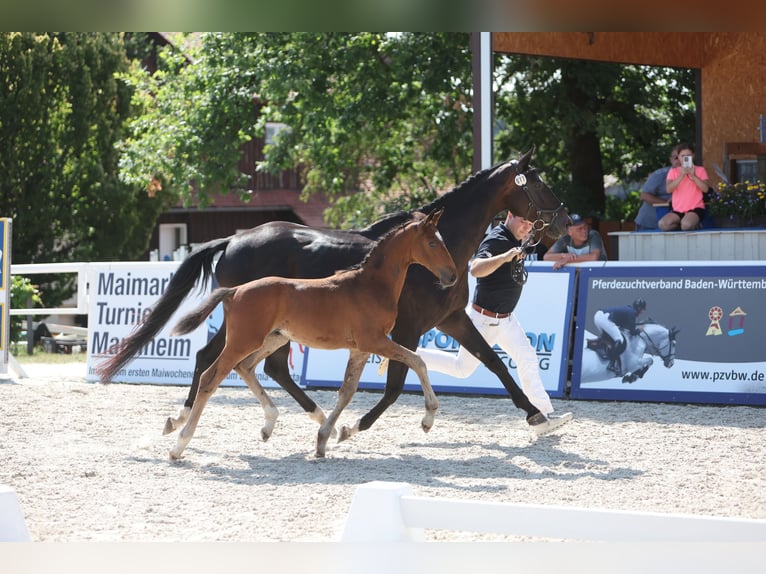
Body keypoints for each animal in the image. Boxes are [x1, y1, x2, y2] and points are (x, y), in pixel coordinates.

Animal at [167, 209, 457, 459]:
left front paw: (325, 438)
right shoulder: (374, 341)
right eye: (432, 243)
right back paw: (179, 444)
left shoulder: (359, 349)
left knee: (246, 367)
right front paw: (428, 418)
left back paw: (268, 424)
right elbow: (418, 361)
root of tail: (234, 291)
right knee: (210, 377)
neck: (370, 286)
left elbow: (347, 391)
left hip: (273, 338)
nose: (452, 276)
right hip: (243, 340)